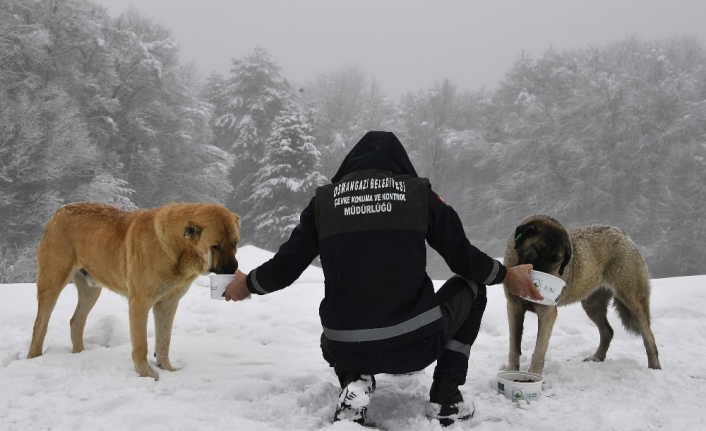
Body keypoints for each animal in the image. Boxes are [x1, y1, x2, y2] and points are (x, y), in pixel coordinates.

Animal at [27, 201, 239, 380]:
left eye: (235, 243)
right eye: (216, 246)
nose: (234, 269)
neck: (177, 249)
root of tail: (58, 212)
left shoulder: (168, 304)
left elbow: (164, 341)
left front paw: (167, 369)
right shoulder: (140, 303)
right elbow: (141, 344)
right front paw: (146, 375)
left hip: (91, 291)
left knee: (76, 322)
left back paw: (79, 355)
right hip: (52, 282)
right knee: (39, 325)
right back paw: (33, 358)